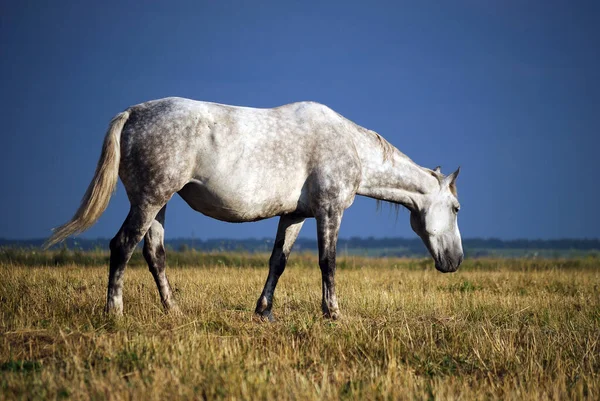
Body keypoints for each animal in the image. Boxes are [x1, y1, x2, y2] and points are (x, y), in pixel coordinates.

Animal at [44, 97, 464, 318]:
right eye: (457, 208)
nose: (456, 261)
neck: (349, 145)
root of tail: (132, 114)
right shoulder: (329, 211)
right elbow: (327, 262)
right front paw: (333, 313)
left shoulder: (294, 216)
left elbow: (278, 261)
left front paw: (264, 311)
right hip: (149, 200)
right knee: (122, 246)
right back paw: (114, 312)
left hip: (158, 204)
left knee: (154, 254)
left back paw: (173, 310)